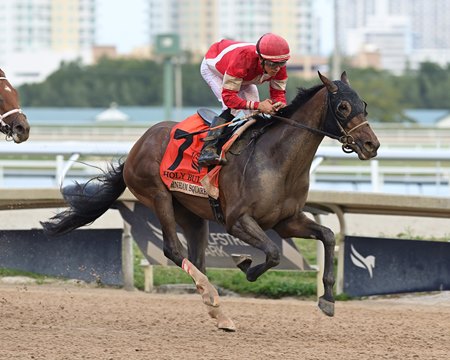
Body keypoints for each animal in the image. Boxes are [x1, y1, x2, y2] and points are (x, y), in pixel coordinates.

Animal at [41, 71, 380, 330]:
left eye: (364, 104)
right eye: (343, 107)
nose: (371, 145)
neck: (276, 160)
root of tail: (137, 146)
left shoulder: (287, 221)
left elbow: (328, 235)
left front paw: (328, 298)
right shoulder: (237, 221)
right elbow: (272, 254)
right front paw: (246, 265)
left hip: (191, 214)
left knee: (197, 258)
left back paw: (217, 309)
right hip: (158, 196)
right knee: (173, 250)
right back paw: (215, 300)